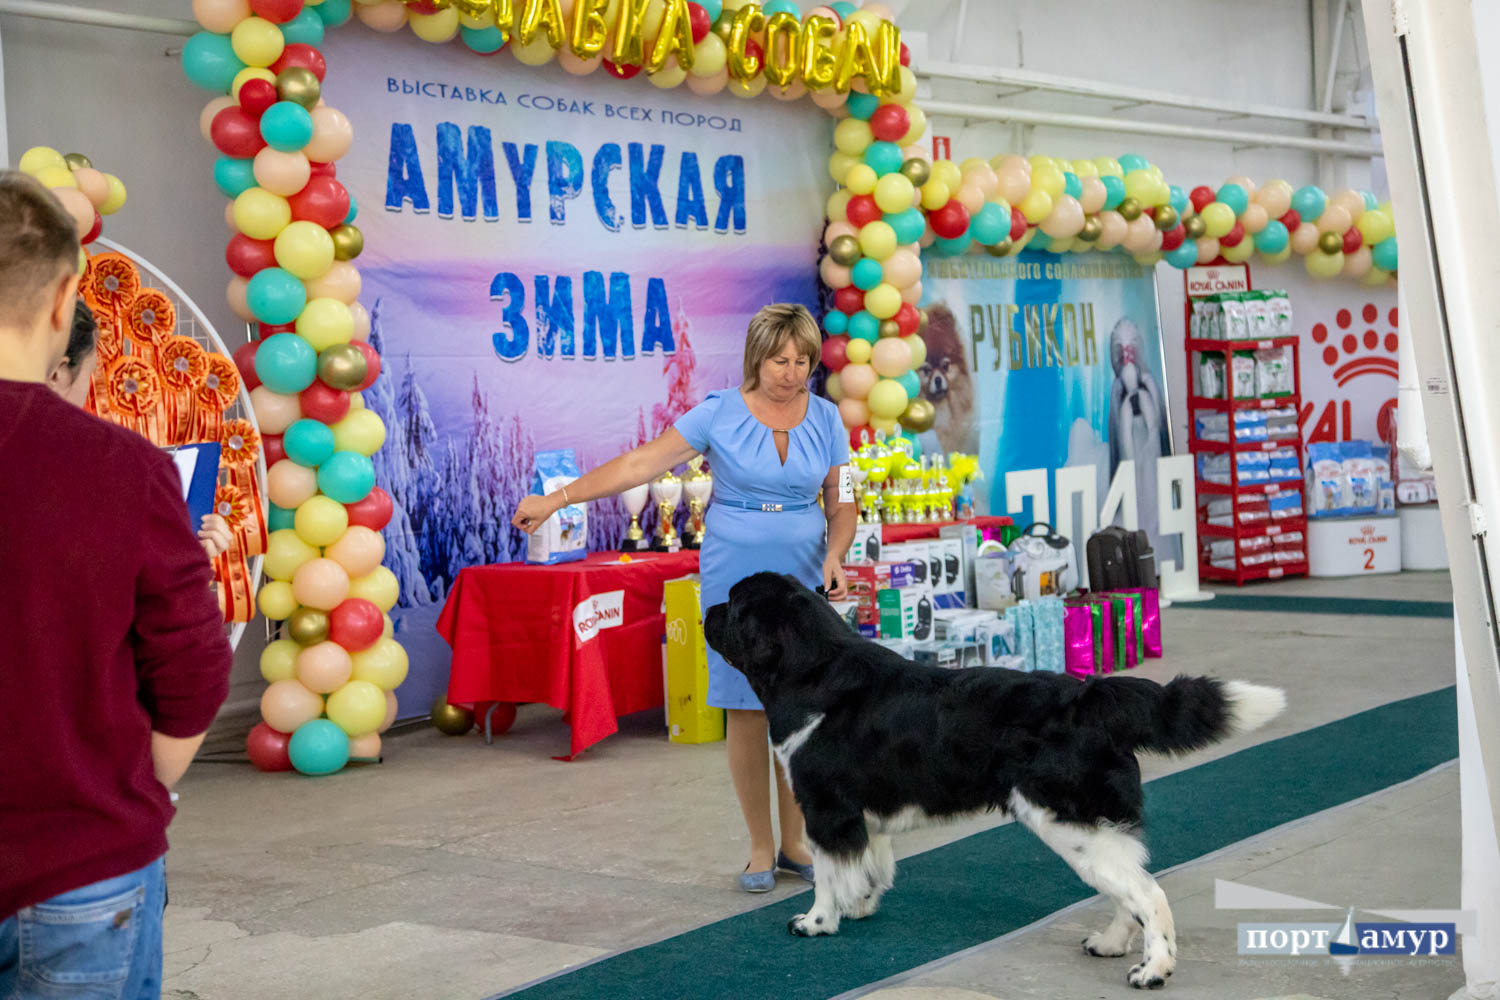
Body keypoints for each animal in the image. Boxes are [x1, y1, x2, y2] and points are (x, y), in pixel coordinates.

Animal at [699, 575, 1278, 989]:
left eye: (734, 603)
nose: (705, 609)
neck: (812, 668)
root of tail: (1088, 697)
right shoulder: (865, 813)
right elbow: (868, 865)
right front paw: (859, 906)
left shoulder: (826, 806)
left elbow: (826, 873)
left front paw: (816, 922)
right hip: (1094, 825)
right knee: (1129, 885)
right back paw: (1110, 944)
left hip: (1067, 820)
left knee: (1146, 892)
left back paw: (1152, 970)